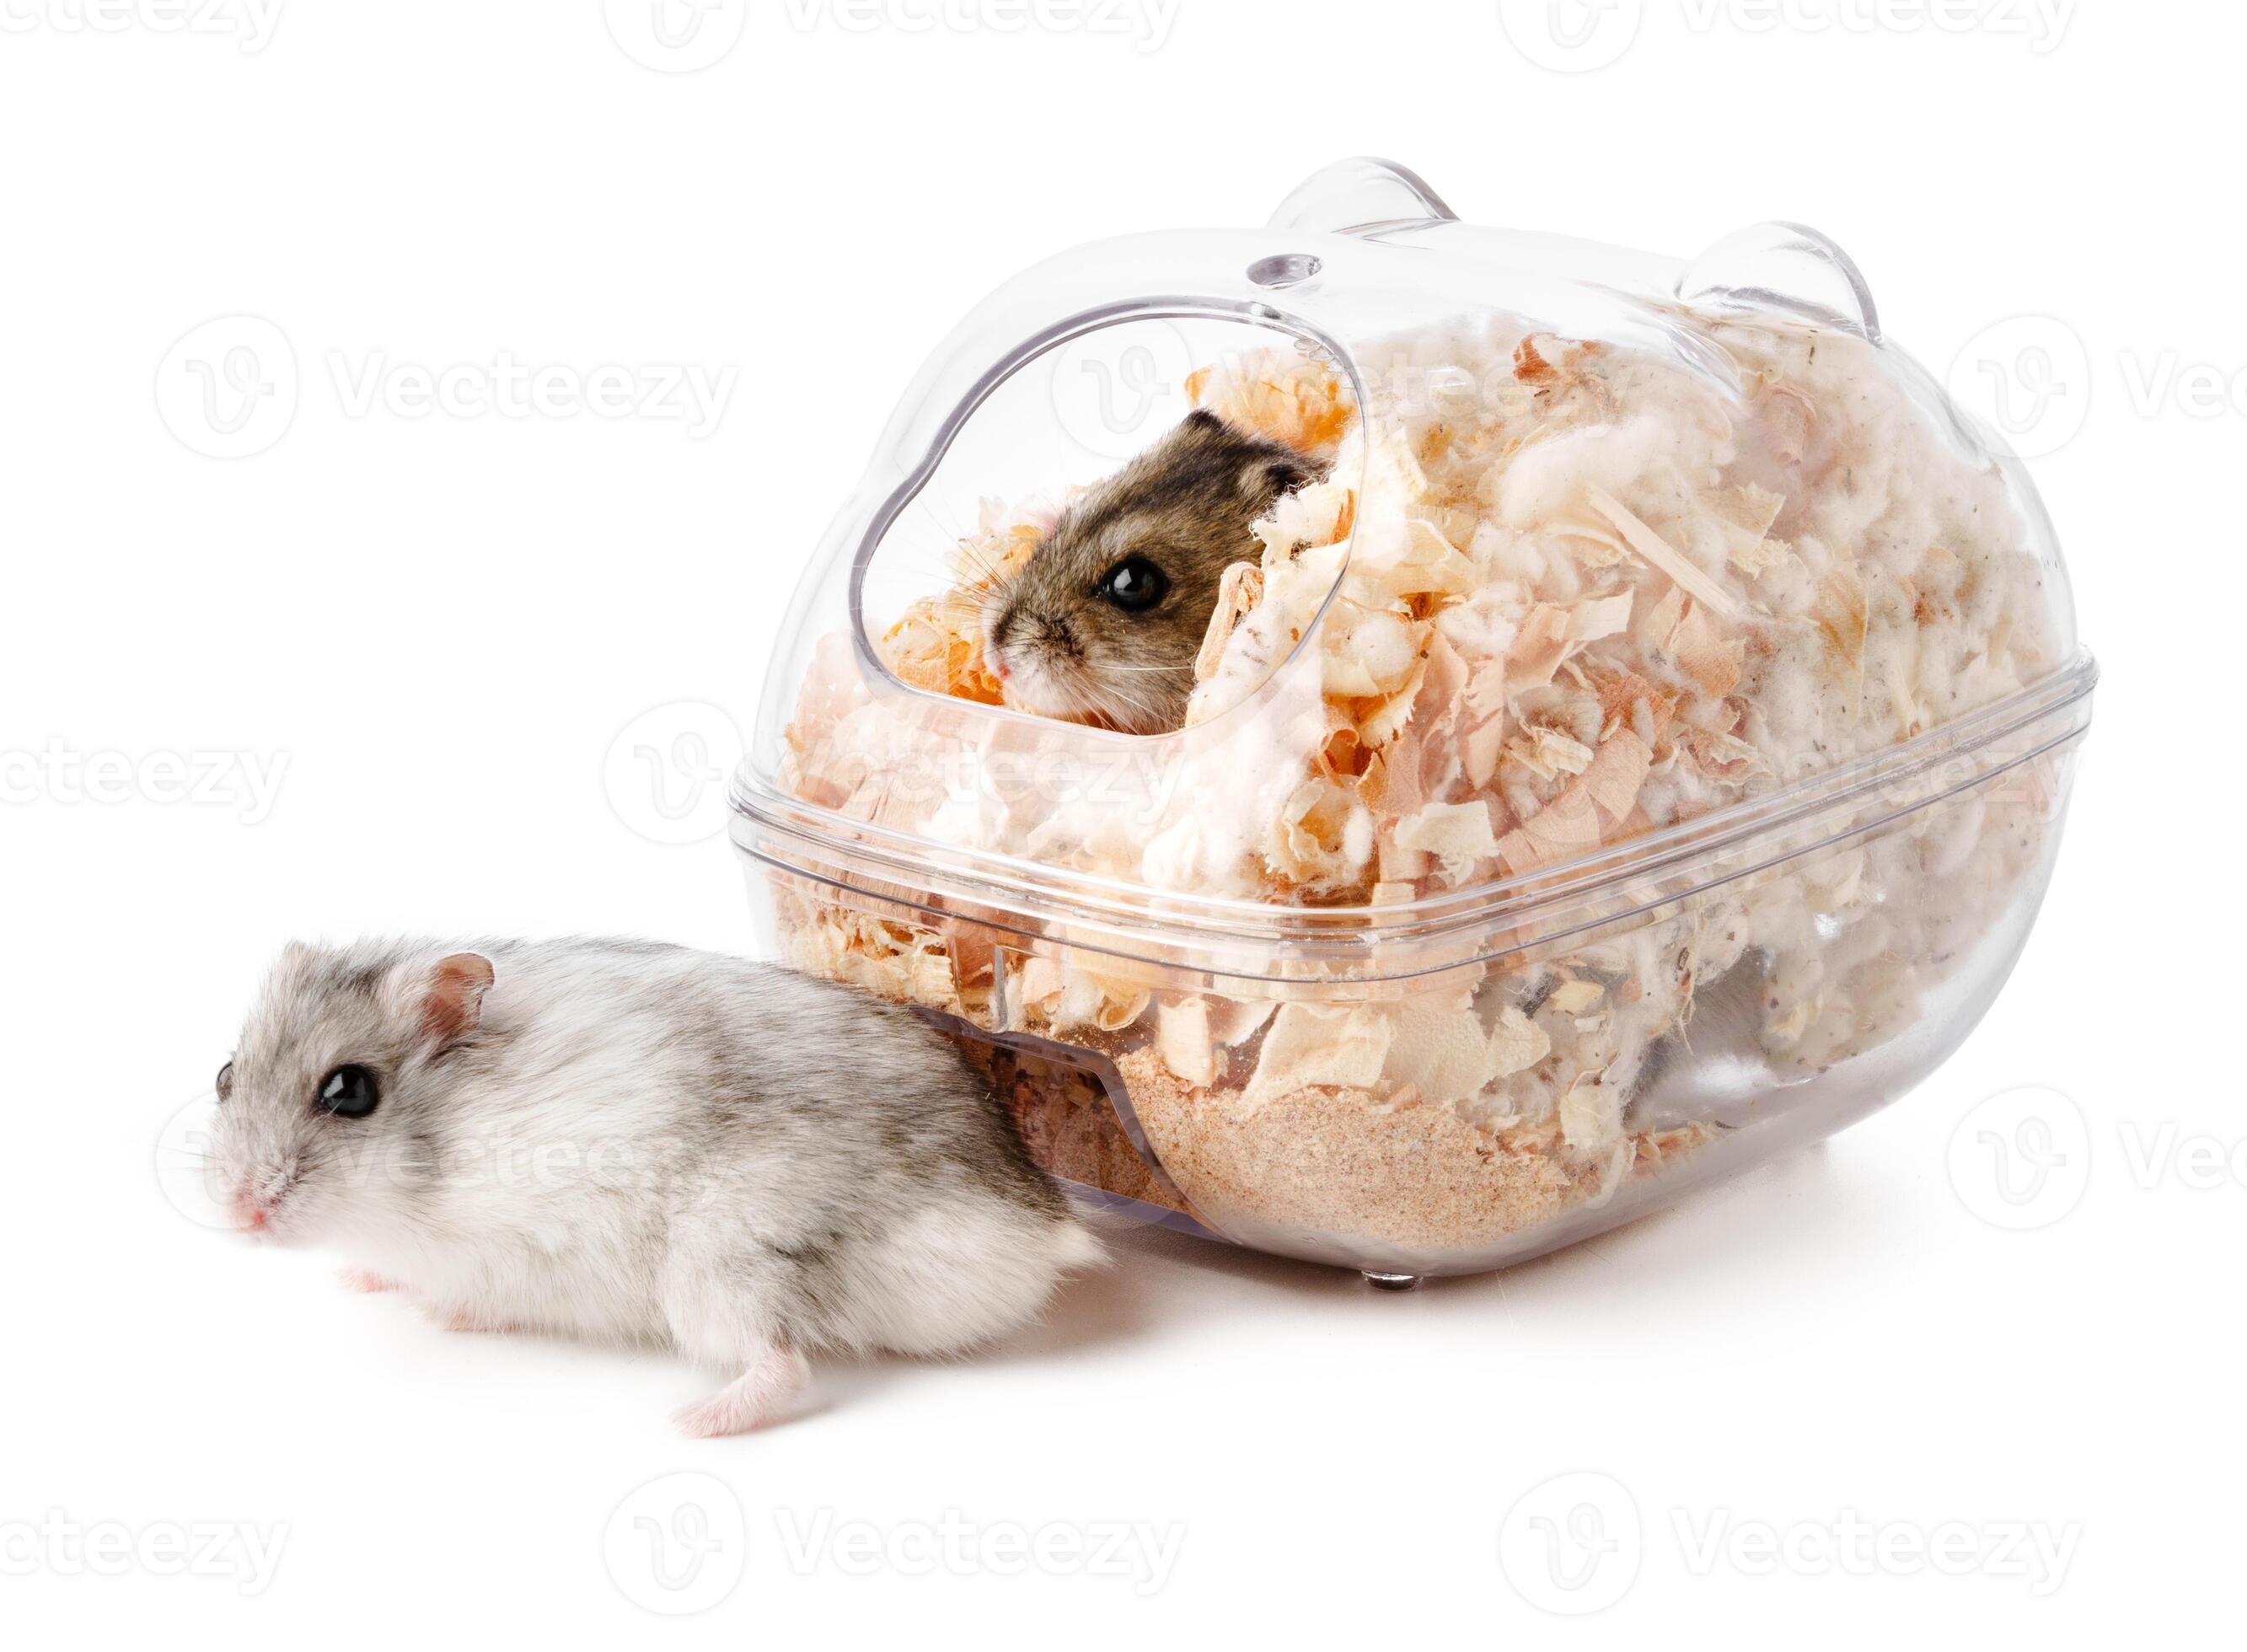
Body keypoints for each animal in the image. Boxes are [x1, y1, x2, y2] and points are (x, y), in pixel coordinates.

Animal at [208, 937, 1100, 1436]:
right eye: (224, 1075)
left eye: (349, 1091)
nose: (239, 1216)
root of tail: (1037, 1221)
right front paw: (357, 1277)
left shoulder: (516, 1250)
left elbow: (471, 1297)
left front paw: (433, 1313)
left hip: (717, 1268)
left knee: (785, 1367)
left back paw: (692, 1423)